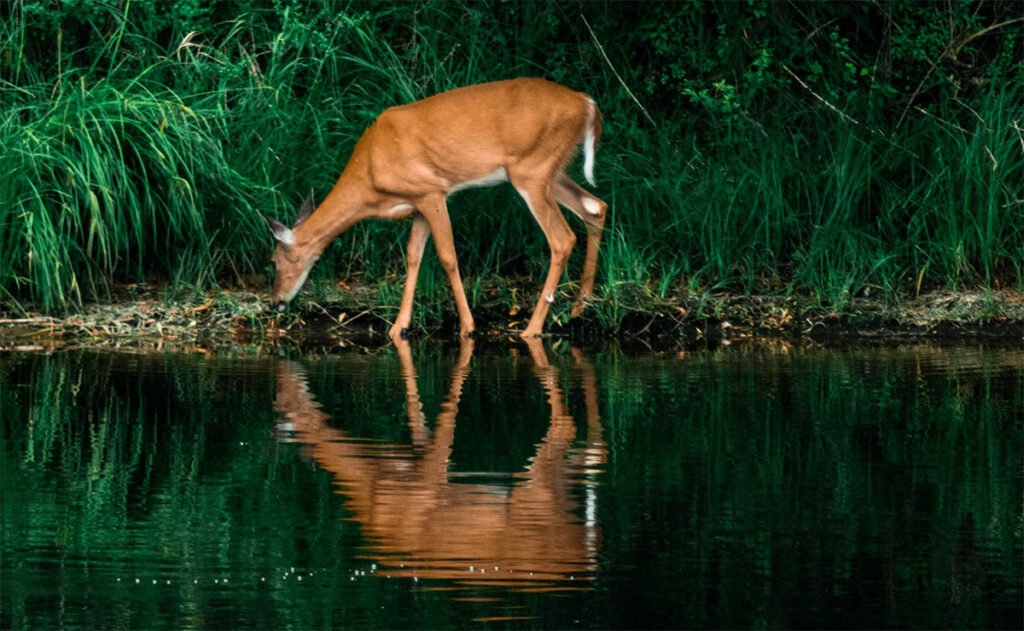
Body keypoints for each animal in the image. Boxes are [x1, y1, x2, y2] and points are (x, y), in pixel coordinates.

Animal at [263, 78, 607, 341]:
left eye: (275, 261)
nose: (275, 303)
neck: (371, 178)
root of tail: (588, 104)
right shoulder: (417, 205)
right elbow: (413, 256)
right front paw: (398, 327)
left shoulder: (432, 191)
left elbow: (447, 256)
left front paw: (468, 326)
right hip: (551, 171)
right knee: (595, 206)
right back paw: (581, 305)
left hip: (532, 170)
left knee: (562, 238)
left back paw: (532, 328)